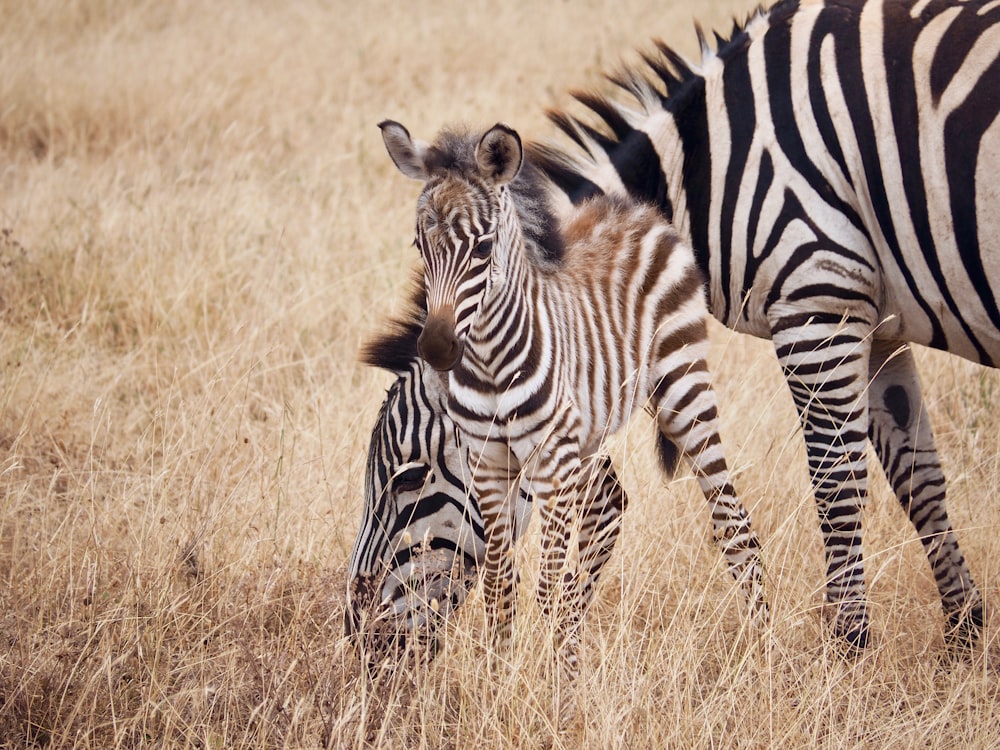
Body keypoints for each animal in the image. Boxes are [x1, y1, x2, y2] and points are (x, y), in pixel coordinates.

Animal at [376, 120, 764, 704]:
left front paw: (554, 692)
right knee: (607, 511)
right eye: (420, 245)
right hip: (590, 433)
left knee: (733, 525)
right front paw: (501, 683)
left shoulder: (550, 463)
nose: (438, 349)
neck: (491, 363)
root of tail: (634, 209)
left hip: (683, 387)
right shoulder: (488, 465)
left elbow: (547, 583)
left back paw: (764, 654)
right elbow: (500, 584)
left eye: (483, 247)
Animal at [524, 0, 1000, 652]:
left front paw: (847, 646)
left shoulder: (817, 302)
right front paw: (964, 630)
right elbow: (917, 477)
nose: (546, 637)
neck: (708, 171)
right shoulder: (879, 323)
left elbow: (837, 485)